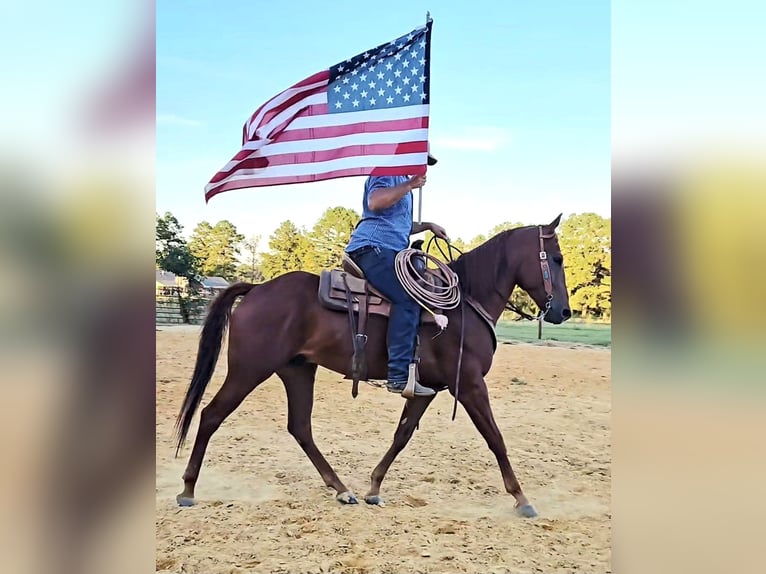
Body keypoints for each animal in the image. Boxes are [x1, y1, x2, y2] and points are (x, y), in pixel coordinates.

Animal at [174, 214, 571, 517]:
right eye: (556, 259)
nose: (564, 312)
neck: (464, 304)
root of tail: (256, 289)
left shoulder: (427, 389)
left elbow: (402, 436)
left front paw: (374, 487)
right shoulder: (470, 385)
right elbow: (495, 438)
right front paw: (521, 498)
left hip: (297, 370)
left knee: (300, 428)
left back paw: (341, 489)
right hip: (249, 370)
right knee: (211, 415)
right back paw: (188, 489)